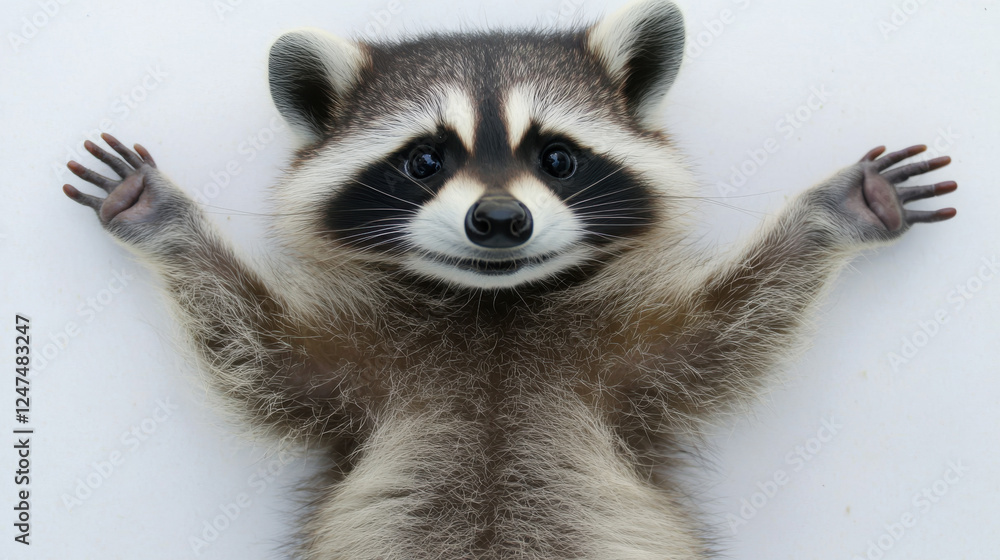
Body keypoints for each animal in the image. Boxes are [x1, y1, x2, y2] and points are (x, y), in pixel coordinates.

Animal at [62, 0, 957, 557]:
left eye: (556, 157)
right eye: (427, 160)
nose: (498, 221)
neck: (493, 308)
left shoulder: (623, 365)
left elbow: (732, 332)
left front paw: (828, 215)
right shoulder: (363, 368)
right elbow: (258, 352)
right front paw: (170, 223)